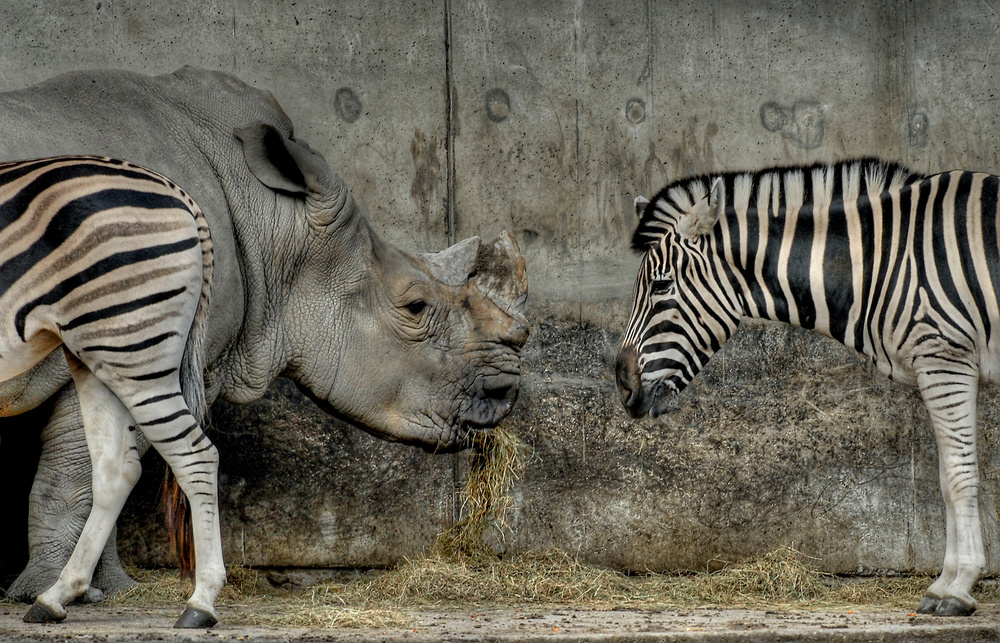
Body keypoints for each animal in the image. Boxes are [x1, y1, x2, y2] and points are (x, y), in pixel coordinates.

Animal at [0, 156, 222, 628]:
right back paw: (56, 596)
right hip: (97, 355)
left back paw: (201, 603)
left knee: (196, 455)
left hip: (131, 347)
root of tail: (181, 194)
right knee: (115, 469)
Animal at [616, 157, 1000, 620]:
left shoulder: (945, 358)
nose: (622, 384)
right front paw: (950, 583)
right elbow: (953, 473)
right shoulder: (949, 365)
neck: (880, 262)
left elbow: (956, 477)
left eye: (661, 286)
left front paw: (955, 588)